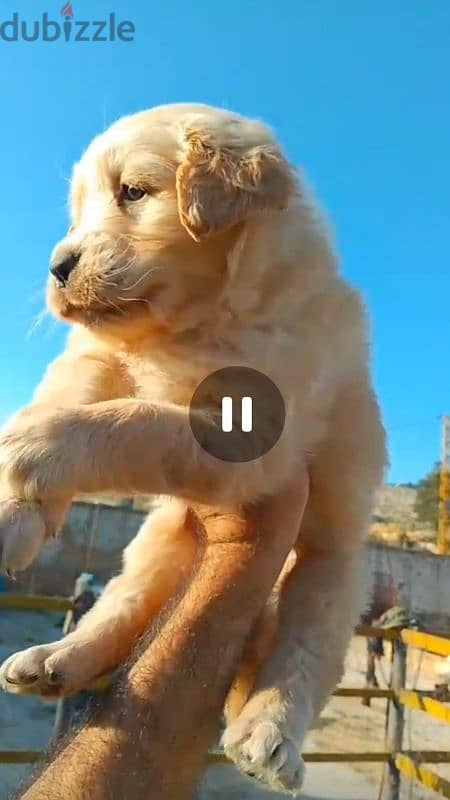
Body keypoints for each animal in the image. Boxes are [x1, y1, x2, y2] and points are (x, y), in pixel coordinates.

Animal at [0, 104, 386, 792]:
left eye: (132, 192)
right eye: (78, 211)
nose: (57, 268)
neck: (197, 321)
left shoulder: (256, 429)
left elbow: (140, 419)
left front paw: (33, 445)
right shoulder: (97, 355)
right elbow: (70, 395)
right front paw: (15, 512)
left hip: (335, 572)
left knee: (305, 650)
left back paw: (269, 736)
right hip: (155, 543)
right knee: (121, 606)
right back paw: (55, 660)